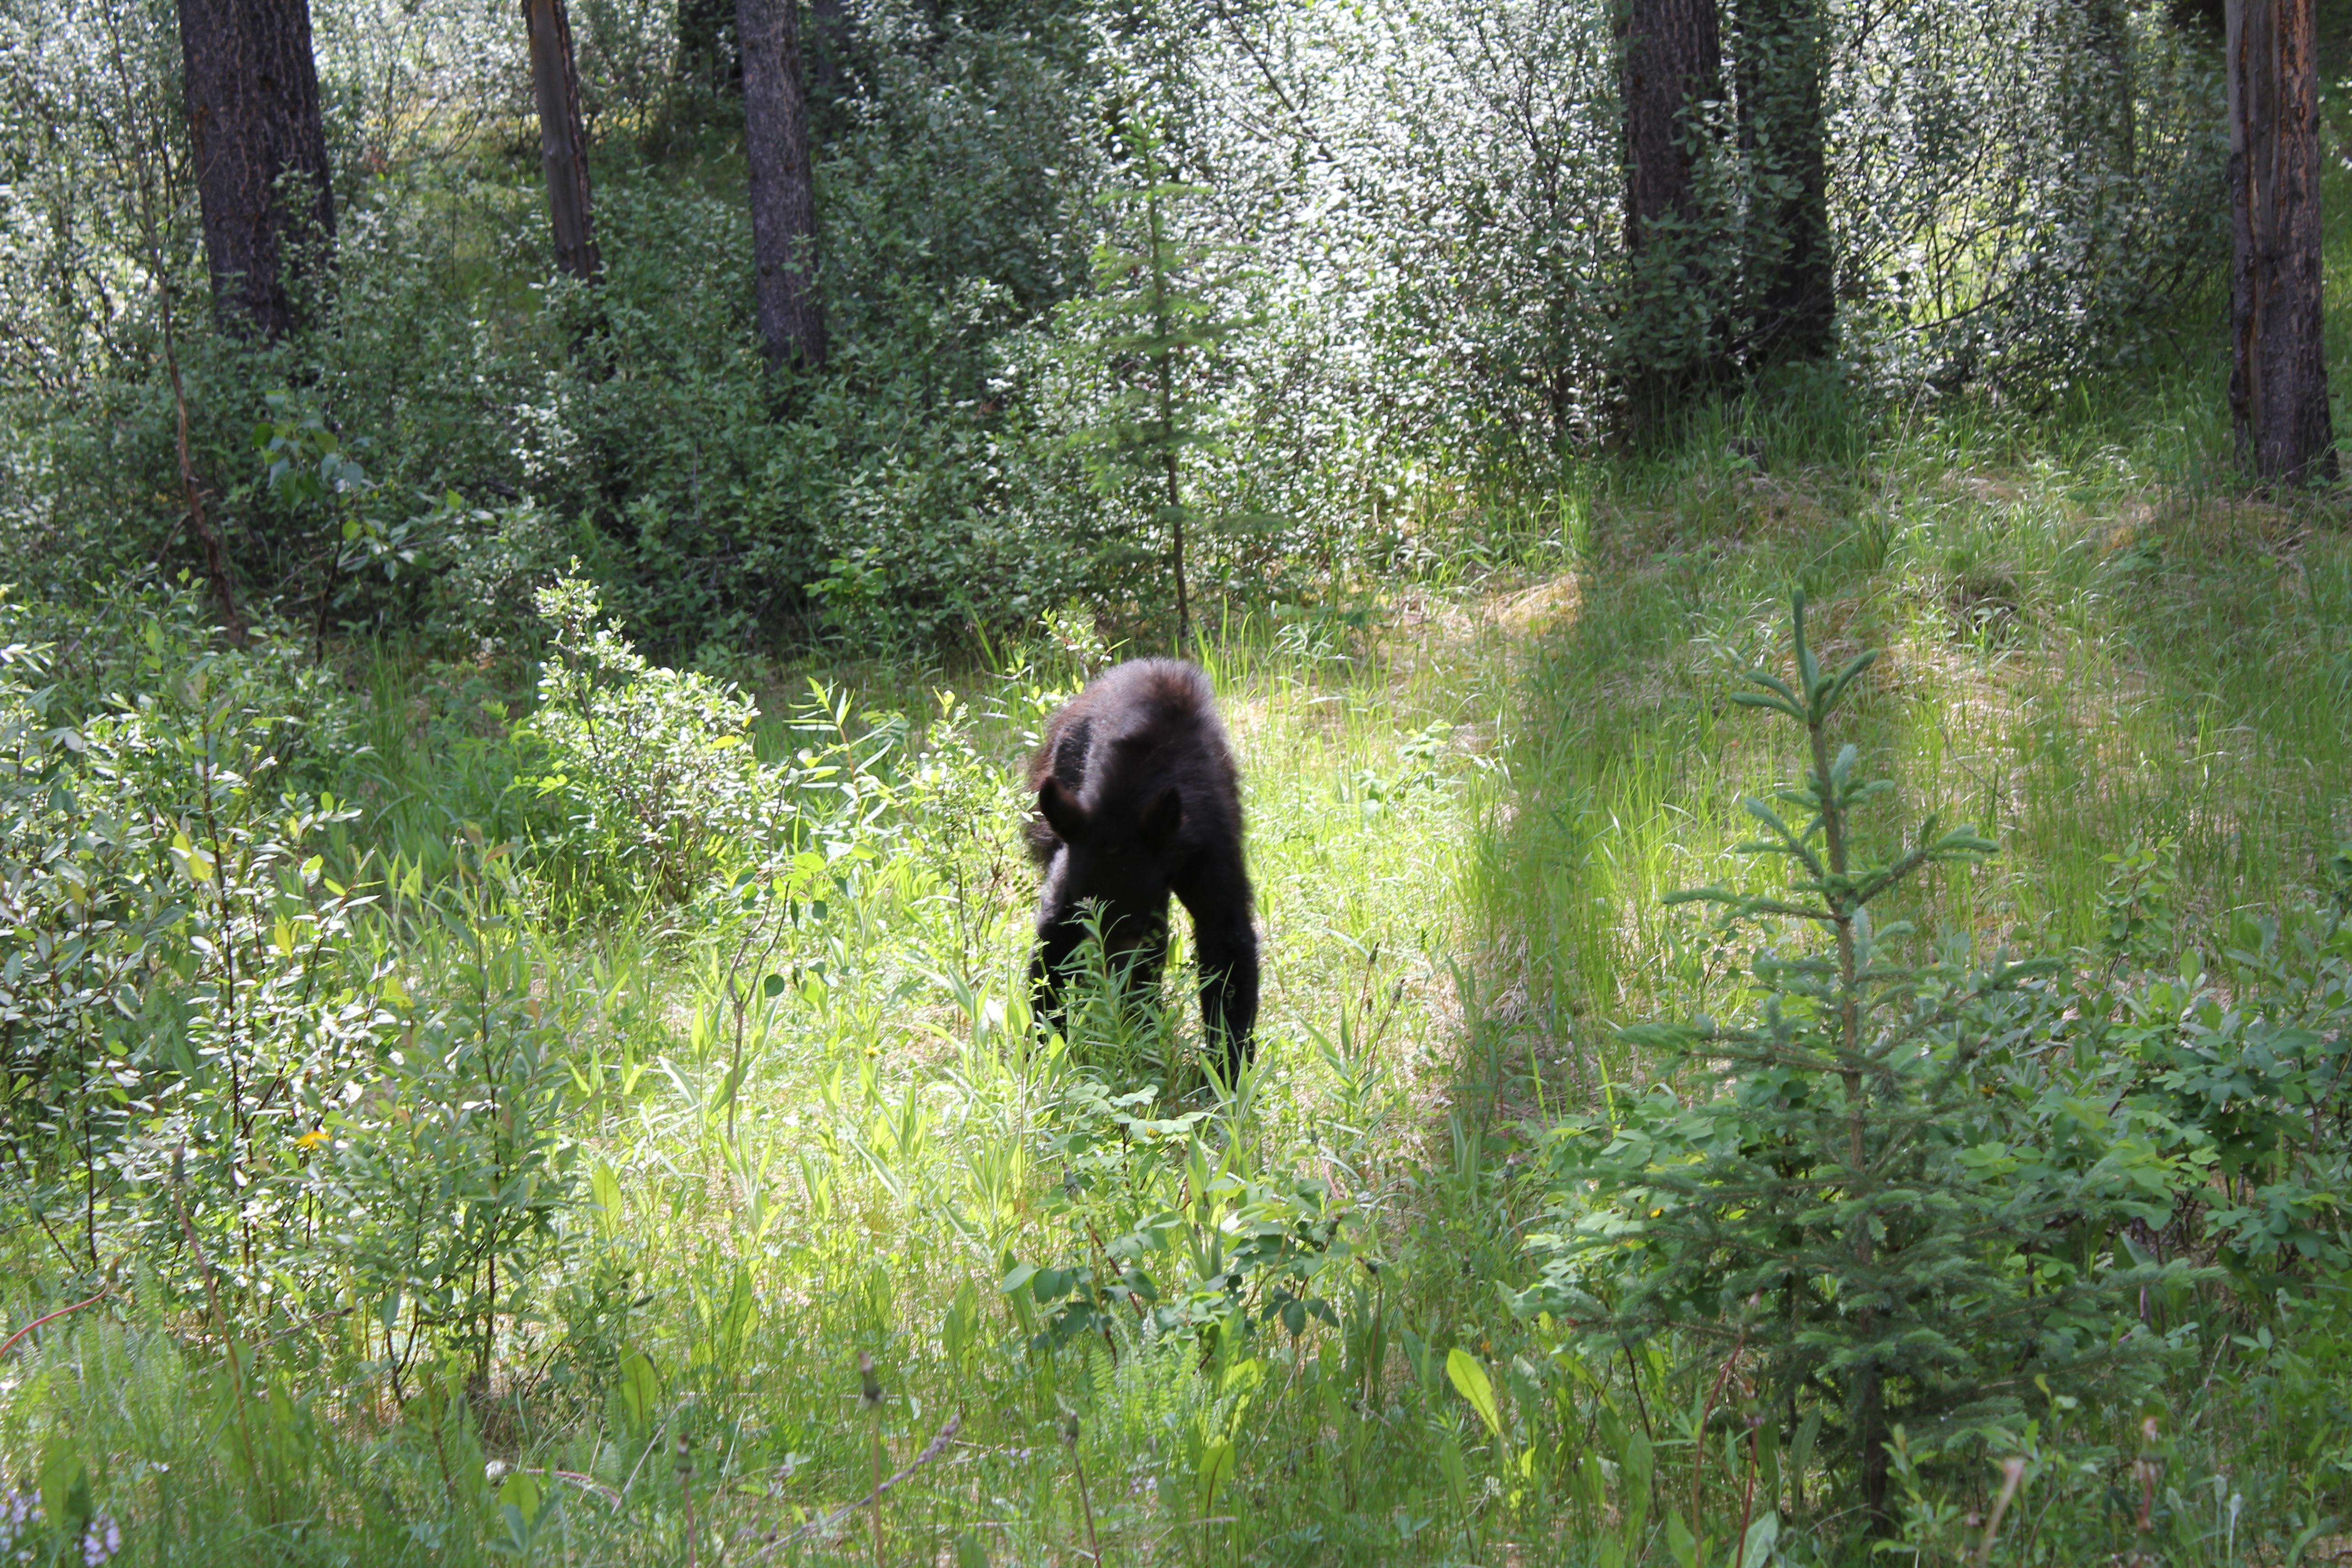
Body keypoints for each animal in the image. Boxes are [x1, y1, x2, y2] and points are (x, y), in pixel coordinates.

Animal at [1025, 653, 1260, 1081]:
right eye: (1087, 922)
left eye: (1133, 930)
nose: (1115, 991)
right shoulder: (1077, 849)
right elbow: (1052, 935)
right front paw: (1043, 1055)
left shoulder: (1207, 846)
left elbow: (1225, 938)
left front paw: (1227, 1072)